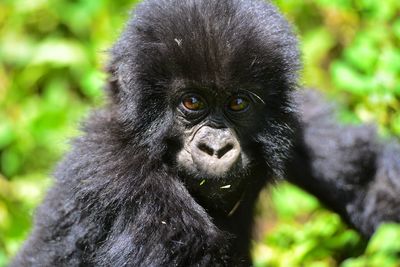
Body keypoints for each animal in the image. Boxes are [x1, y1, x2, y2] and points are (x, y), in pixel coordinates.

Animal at [11, 0, 400, 267]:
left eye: (238, 103)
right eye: (192, 102)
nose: (215, 147)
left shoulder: (298, 118)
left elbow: (371, 182)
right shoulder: (132, 190)